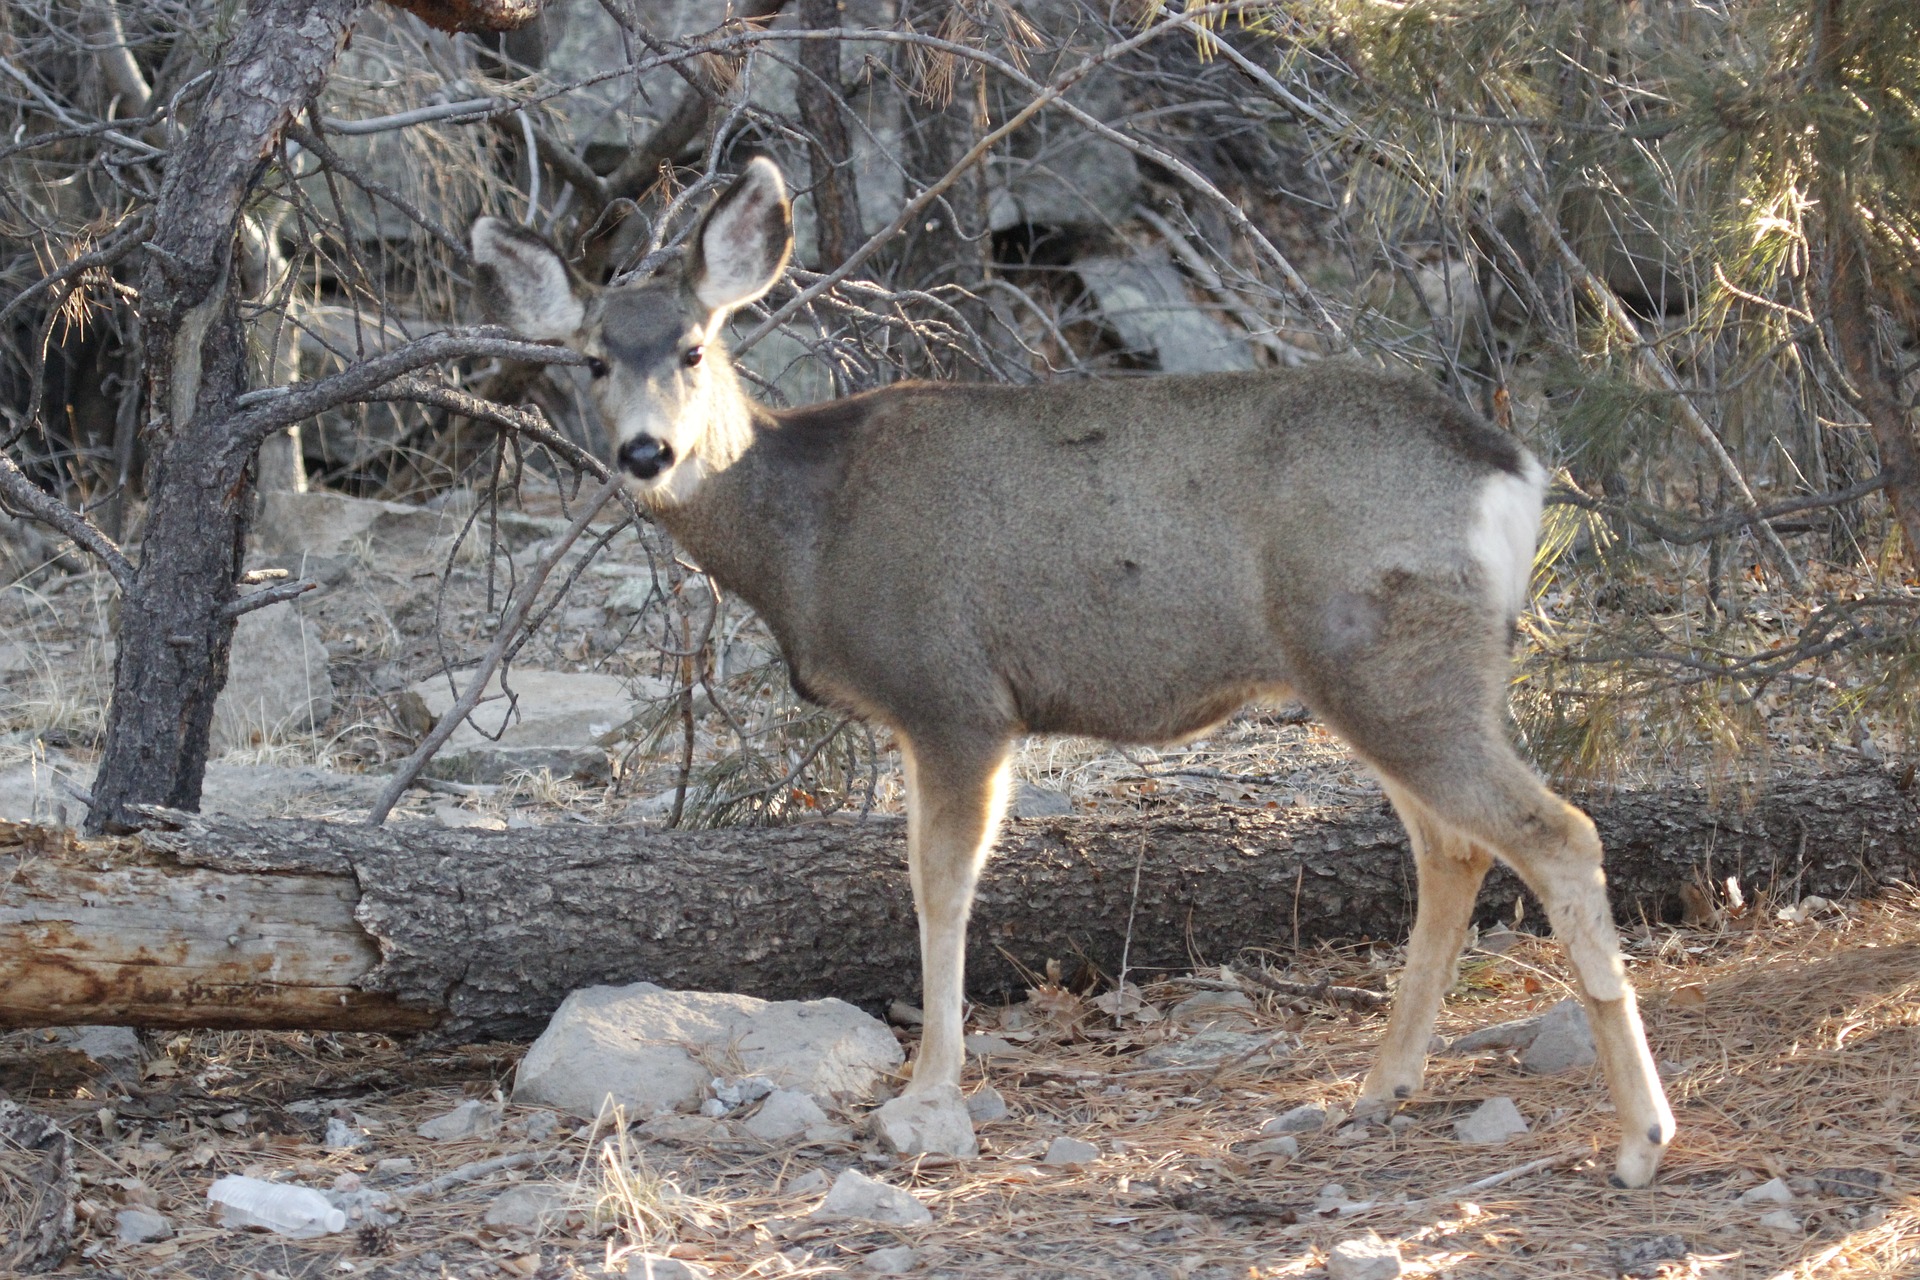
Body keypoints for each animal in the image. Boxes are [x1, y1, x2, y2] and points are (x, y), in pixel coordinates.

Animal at [472, 160, 1674, 1189]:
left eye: (692, 347)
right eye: (592, 359)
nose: (645, 453)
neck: (808, 535)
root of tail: (1511, 470)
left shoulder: (954, 696)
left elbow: (940, 890)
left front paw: (929, 1097)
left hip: (1394, 657)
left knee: (1556, 831)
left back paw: (1638, 1140)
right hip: (1377, 670)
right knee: (1454, 846)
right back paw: (1383, 1088)